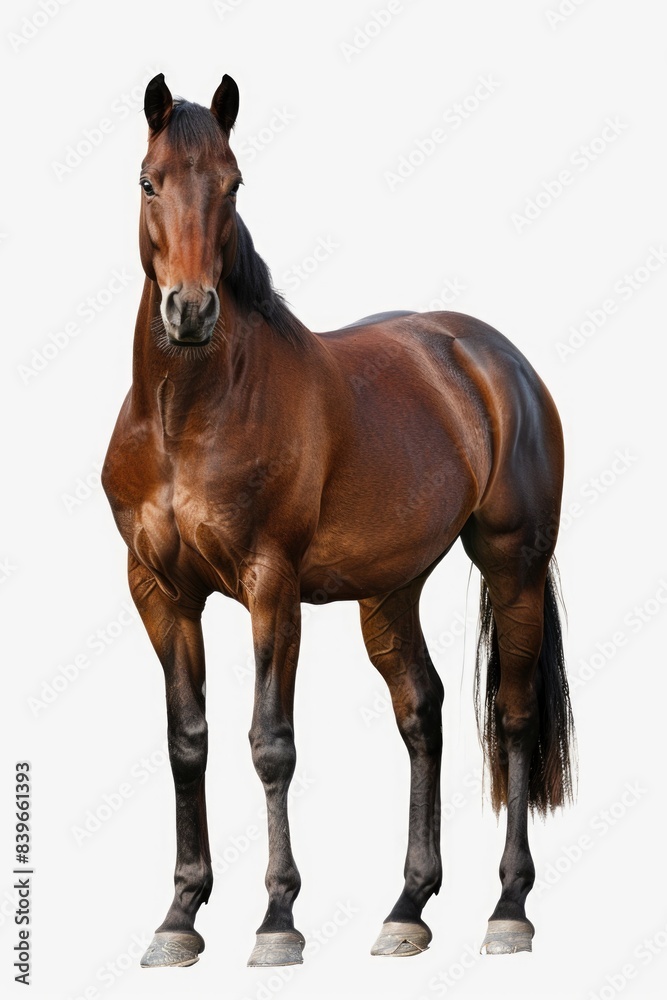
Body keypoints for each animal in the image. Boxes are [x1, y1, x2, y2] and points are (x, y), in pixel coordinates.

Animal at [102, 72, 575, 970]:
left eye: (233, 184)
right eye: (148, 182)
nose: (191, 312)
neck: (189, 417)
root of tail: (488, 357)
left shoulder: (270, 586)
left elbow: (269, 742)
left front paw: (277, 921)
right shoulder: (160, 592)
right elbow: (187, 741)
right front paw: (178, 917)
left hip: (513, 565)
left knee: (513, 713)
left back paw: (508, 908)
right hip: (389, 591)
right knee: (421, 710)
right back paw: (407, 907)